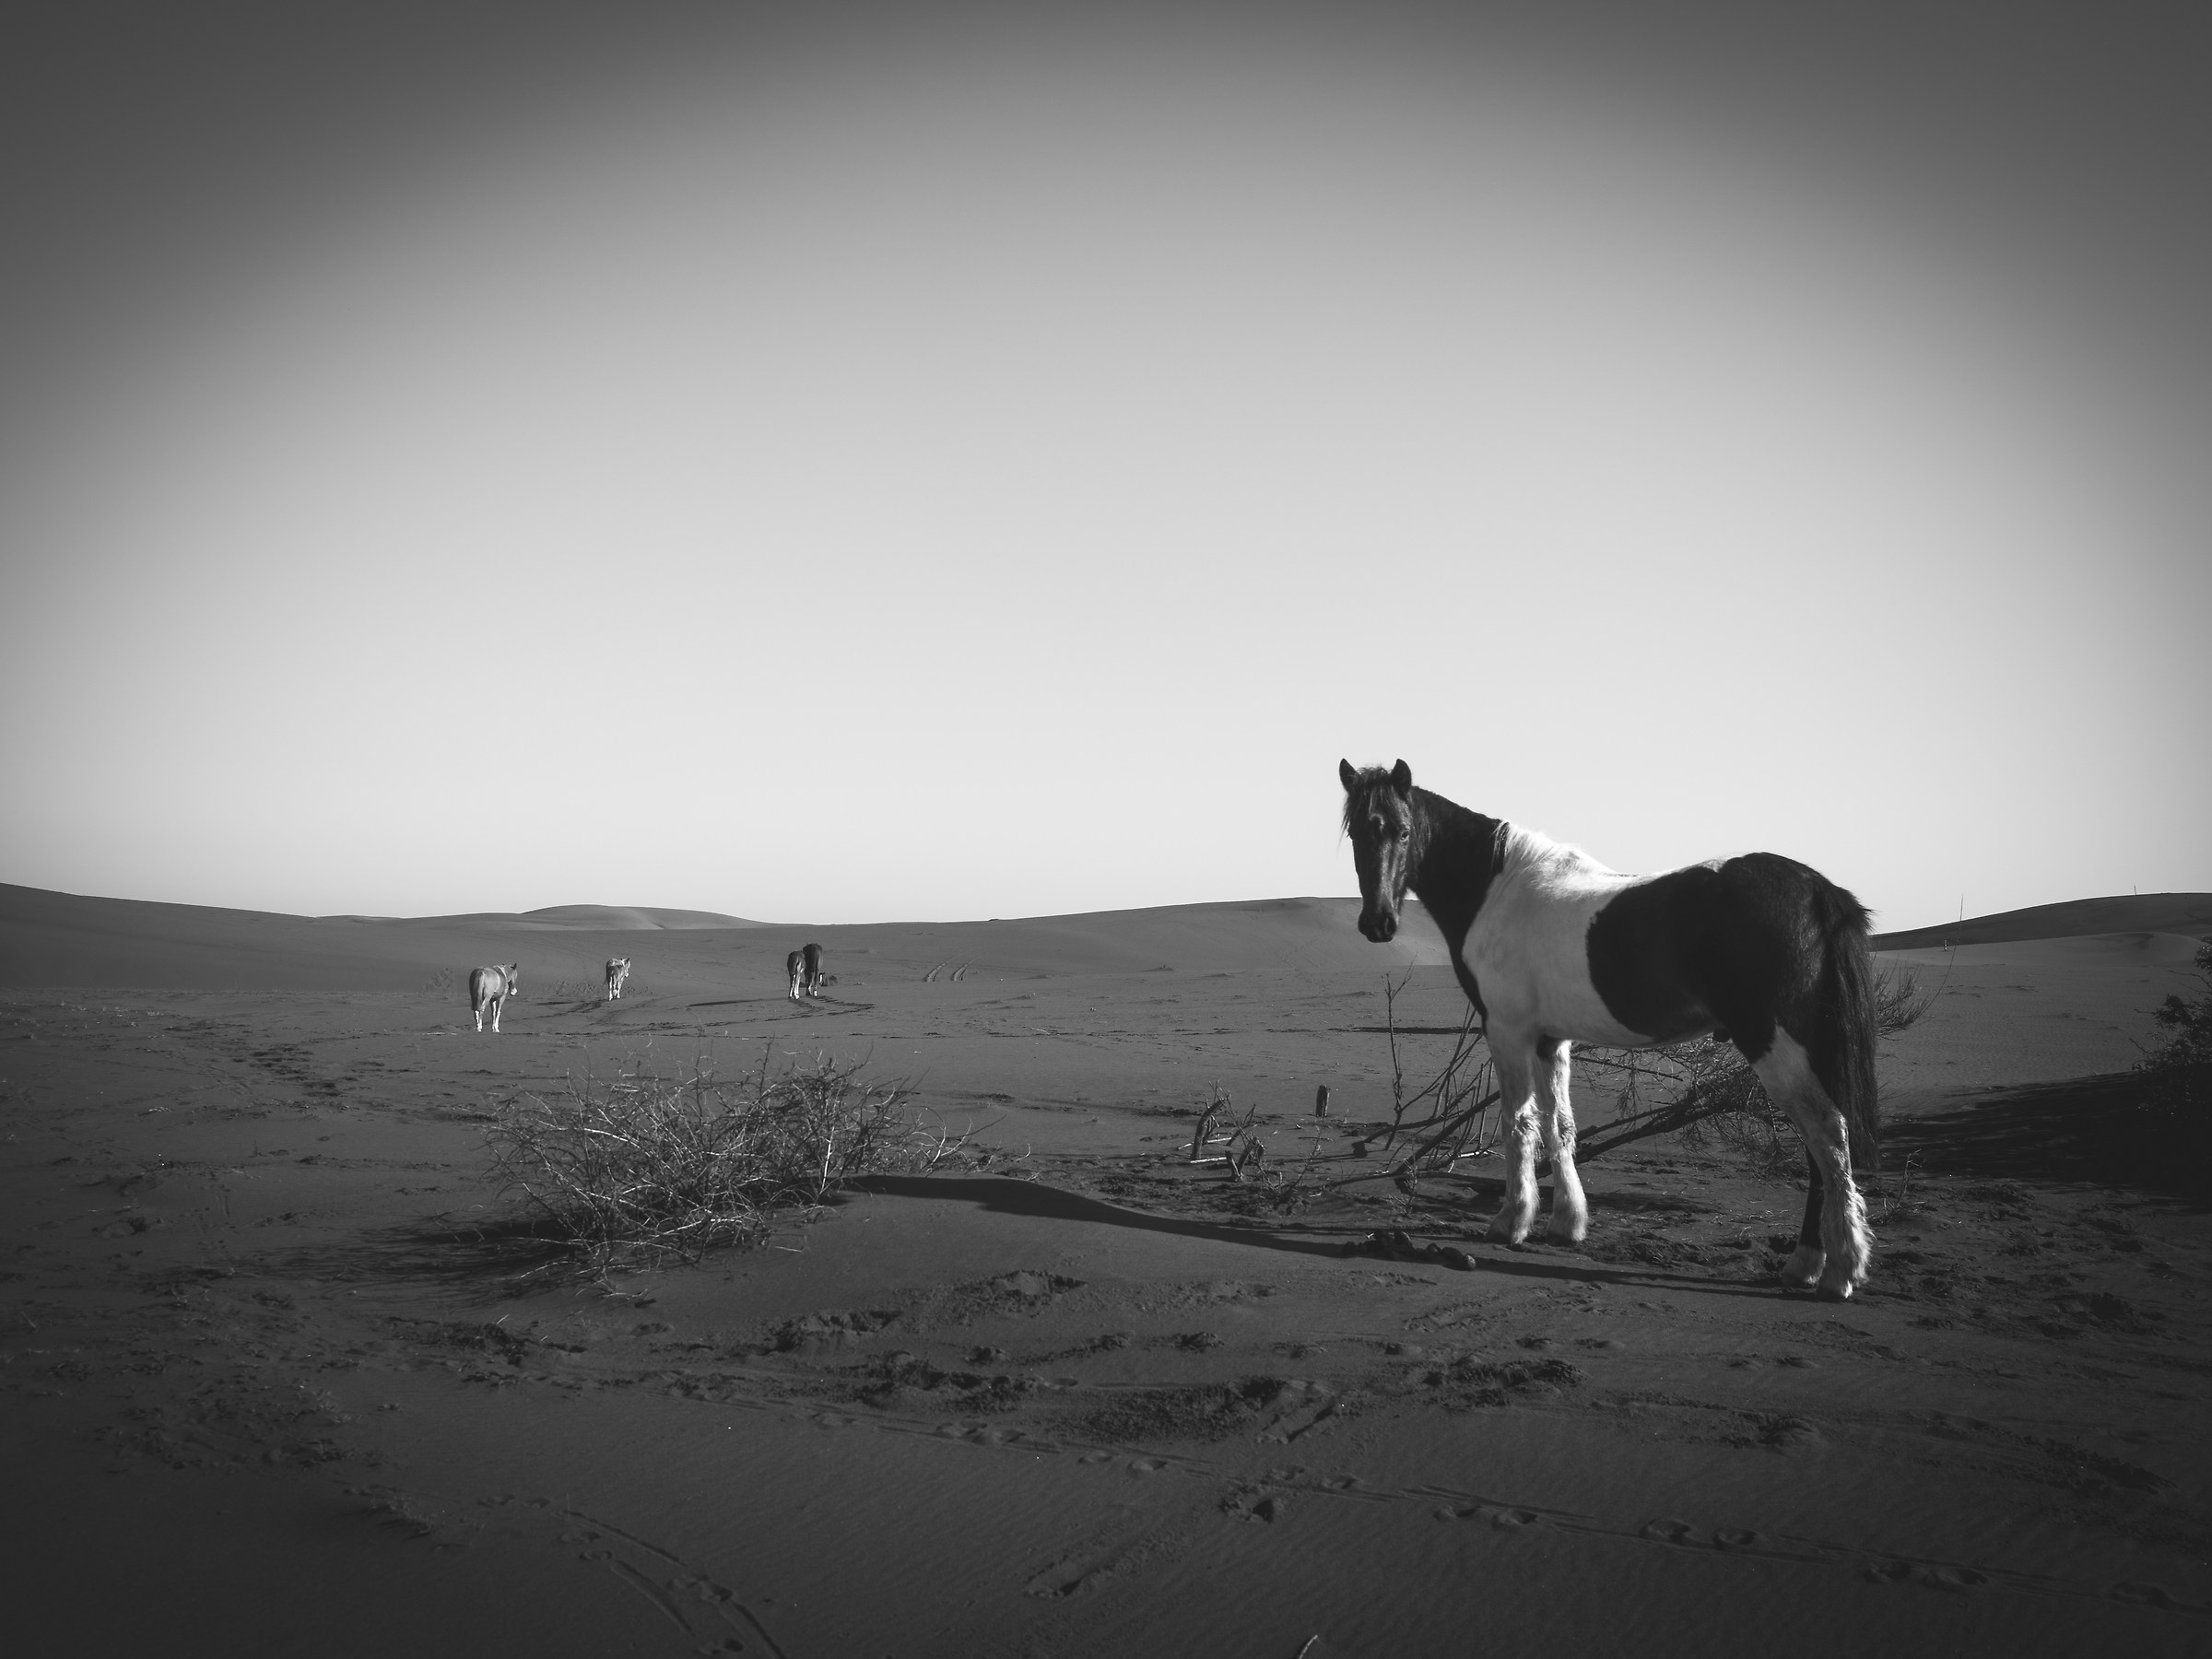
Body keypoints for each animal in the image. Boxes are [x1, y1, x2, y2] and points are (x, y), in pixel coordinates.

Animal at [1339, 759, 1880, 1301]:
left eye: (1403, 831)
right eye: (1356, 834)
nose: (1378, 923)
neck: (1496, 888)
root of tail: (1817, 890)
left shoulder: (1509, 1032)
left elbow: (1518, 1125)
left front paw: (1511, 1223)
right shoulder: (1549, 1040)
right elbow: (1559, 1126)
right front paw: (1566, 1224)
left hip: (1775, 1045)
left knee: (1828, 1136)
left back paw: (1836, 1272)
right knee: (1820, 1150)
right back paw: (1807, 1264)